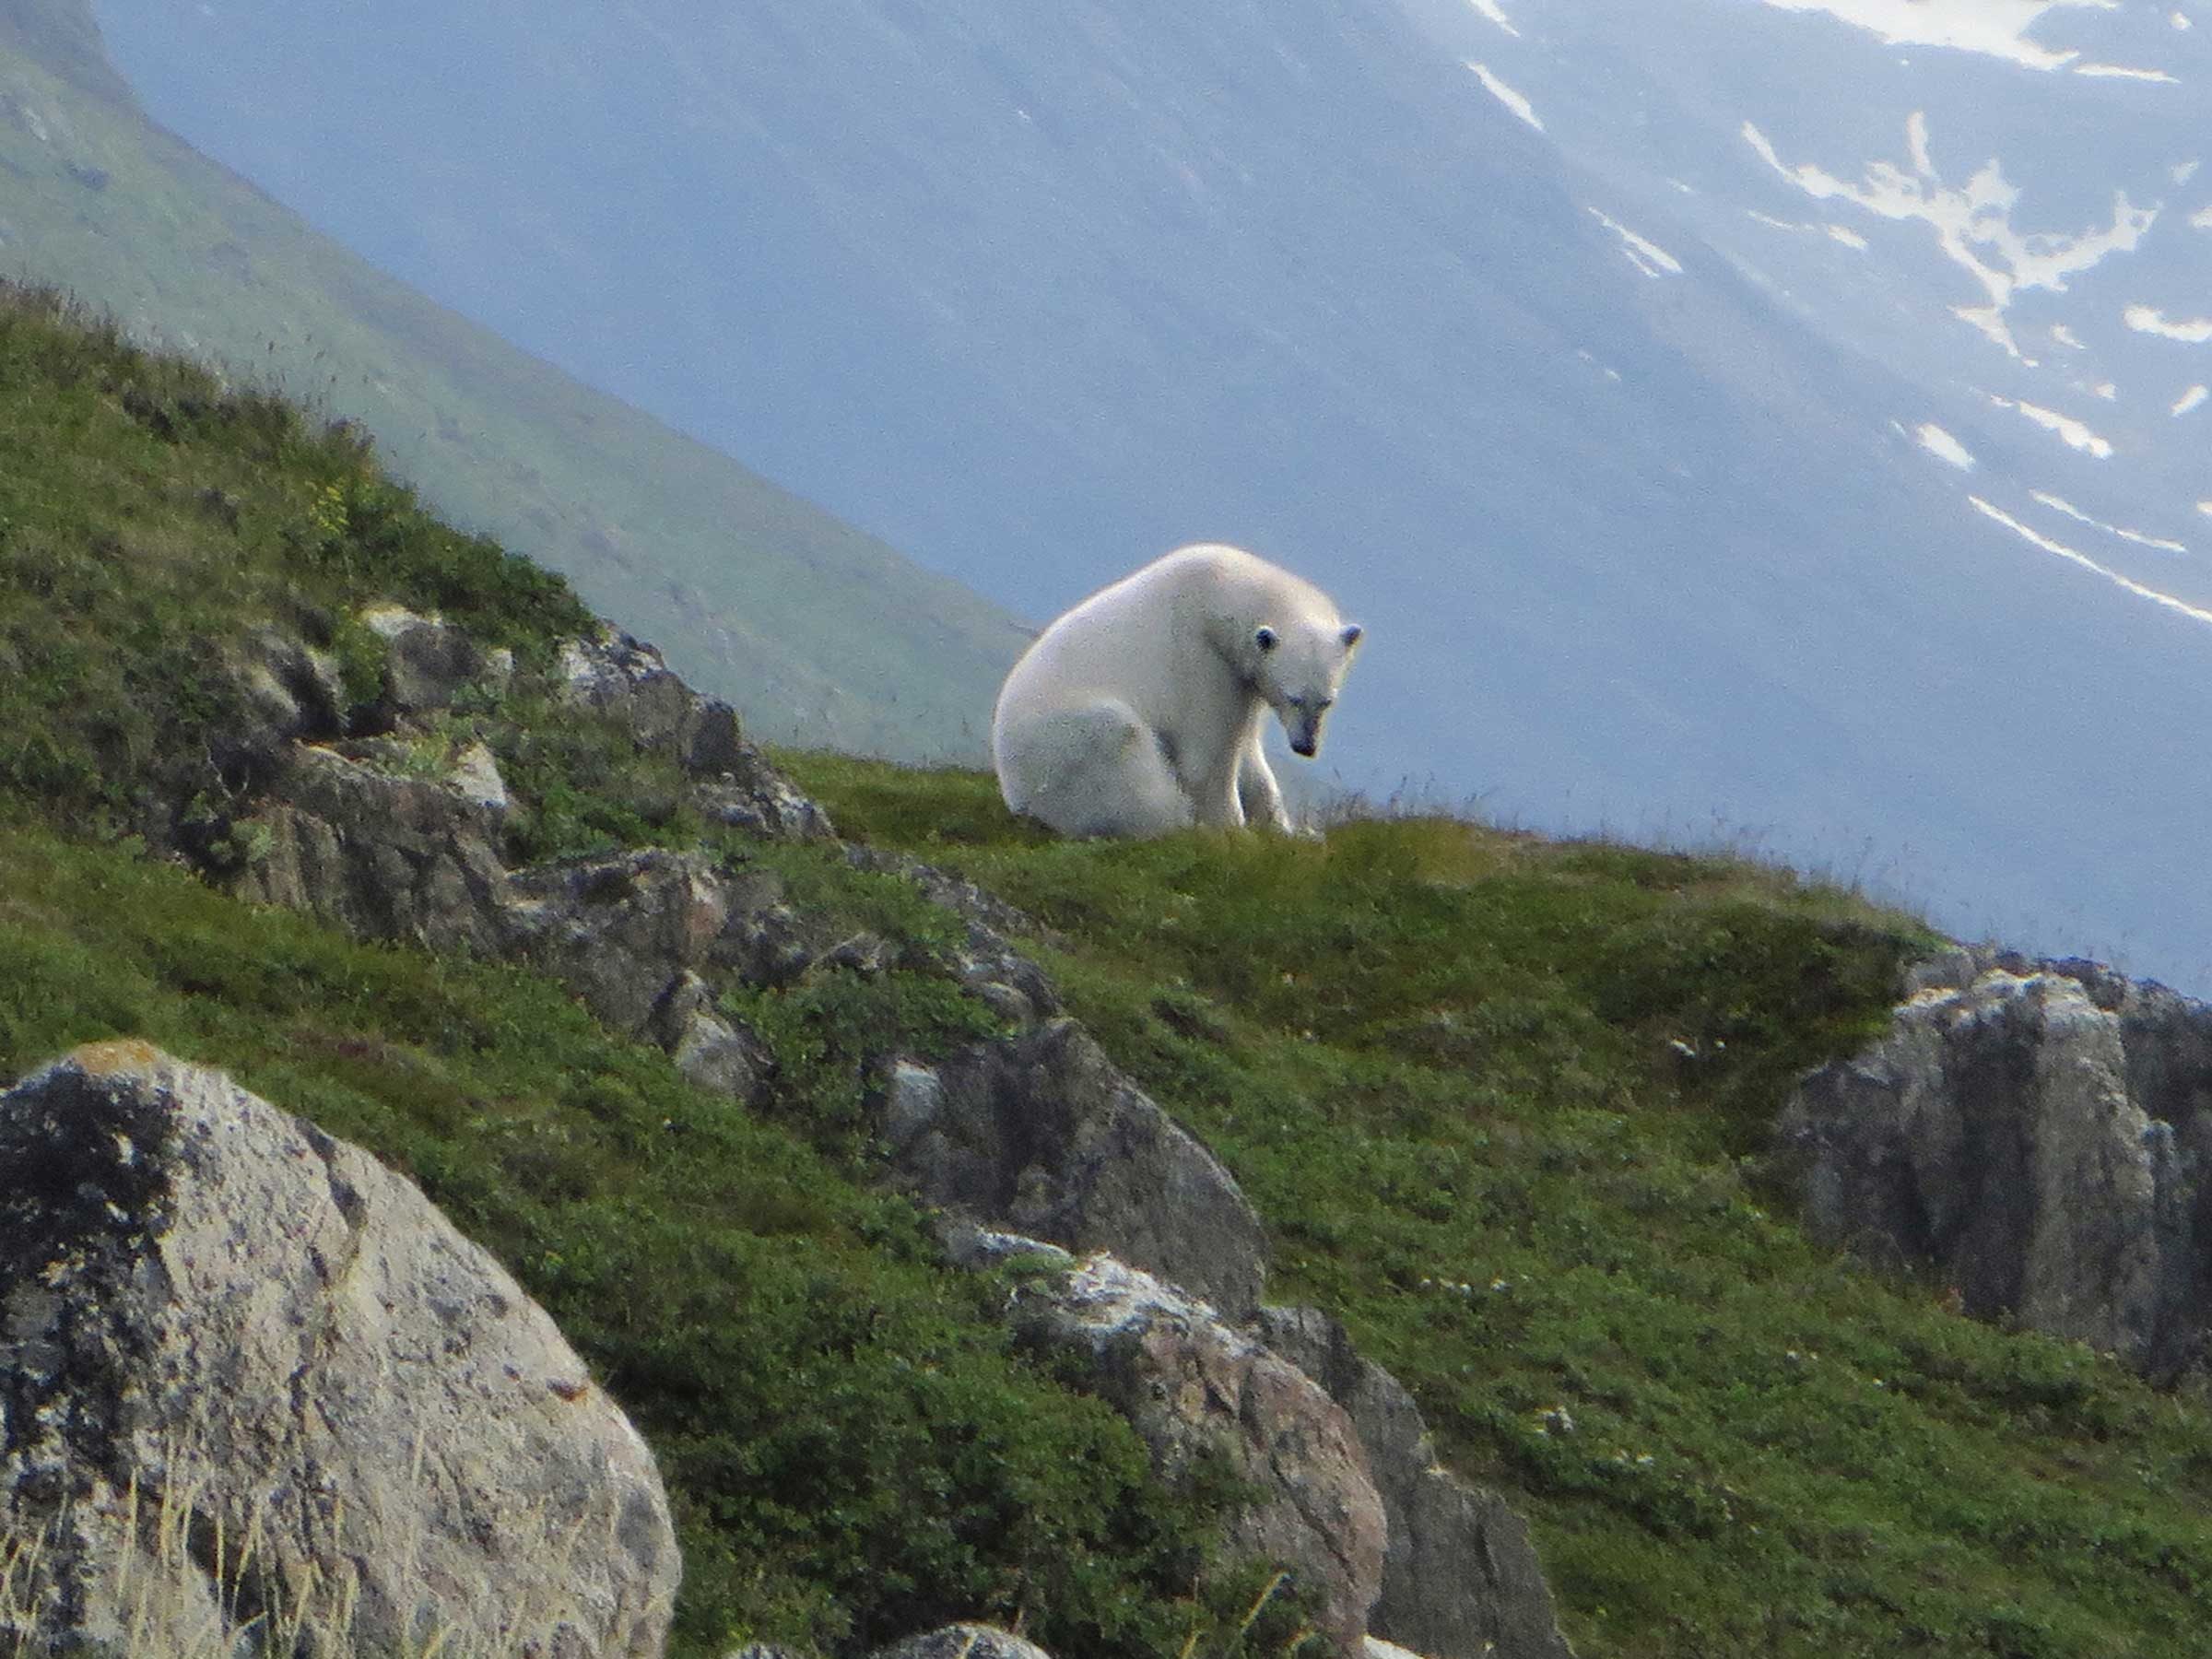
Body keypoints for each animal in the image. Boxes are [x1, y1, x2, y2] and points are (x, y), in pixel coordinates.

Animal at [991, 543, 1363, 838]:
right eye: (1293, 697)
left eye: (1327, 701)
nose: (1306, 747)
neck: (1218, 594)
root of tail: (1015, 794)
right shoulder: (1201, 661)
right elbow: (1208, 756)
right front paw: (1233, 831)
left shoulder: (1243, 678)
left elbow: (1248, 750)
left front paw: (1290, 830)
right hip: (1063, 747)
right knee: (1122, 749)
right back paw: (1176, 820)